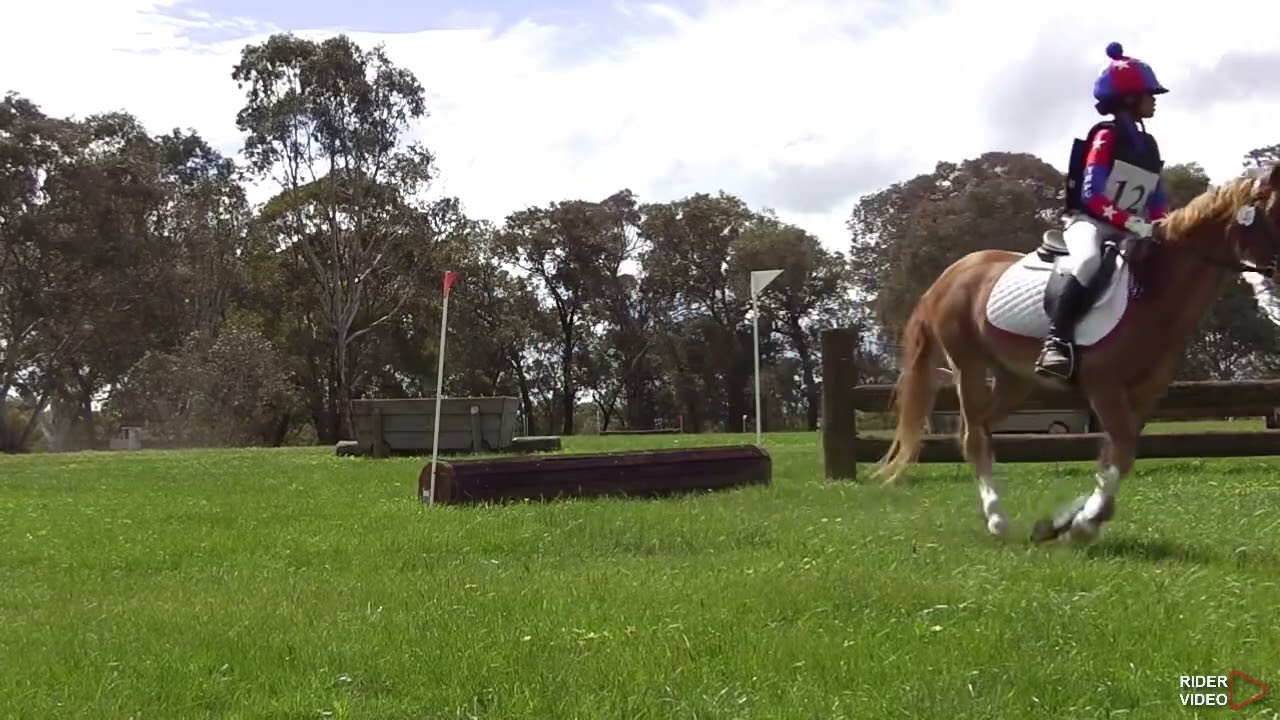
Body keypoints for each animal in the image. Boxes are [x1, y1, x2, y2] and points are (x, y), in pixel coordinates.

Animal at [873, 163, 1280, 543]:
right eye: (1274, 211)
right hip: (968, 365)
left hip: (1014, 380)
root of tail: (949, 275)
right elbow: (1121, 454)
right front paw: (1082, 525)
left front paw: (1067, 523)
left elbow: (1113, 458)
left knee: (981, 429)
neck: (1153, 291)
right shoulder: (1105, 390)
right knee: (973, 435)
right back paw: (997, 520)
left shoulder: (1142, 396)